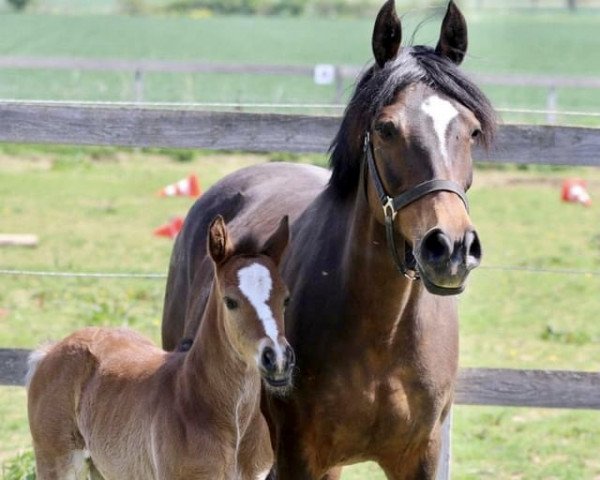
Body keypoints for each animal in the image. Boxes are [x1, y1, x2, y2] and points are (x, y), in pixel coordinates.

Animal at [162, 1, 494, 478]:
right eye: (386, 128)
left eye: (471, 130)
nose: (450, 248)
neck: (382, 333)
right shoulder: (298, 457)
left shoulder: (421, 457)